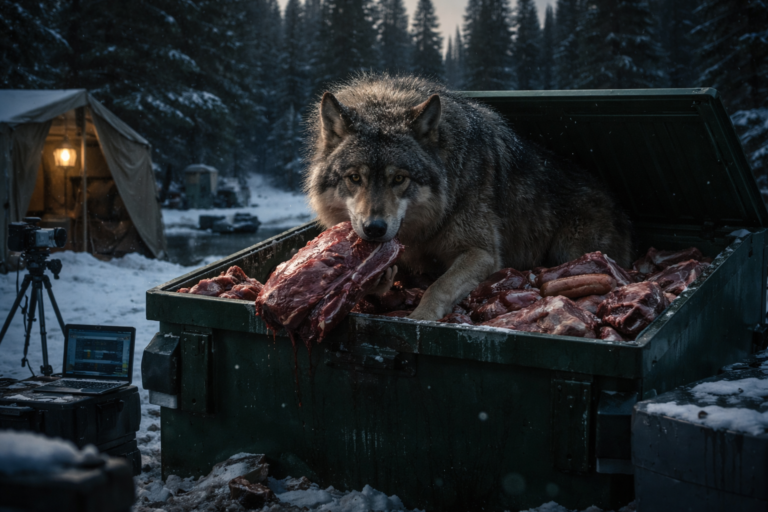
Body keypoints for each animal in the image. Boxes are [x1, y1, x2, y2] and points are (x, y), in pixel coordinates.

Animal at [304, 74, 632, 321]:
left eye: (399, 179)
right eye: (354, 178)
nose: (374, 229)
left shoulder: (482, 252)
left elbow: (439, 286)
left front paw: (420, 319)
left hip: (570, 250)